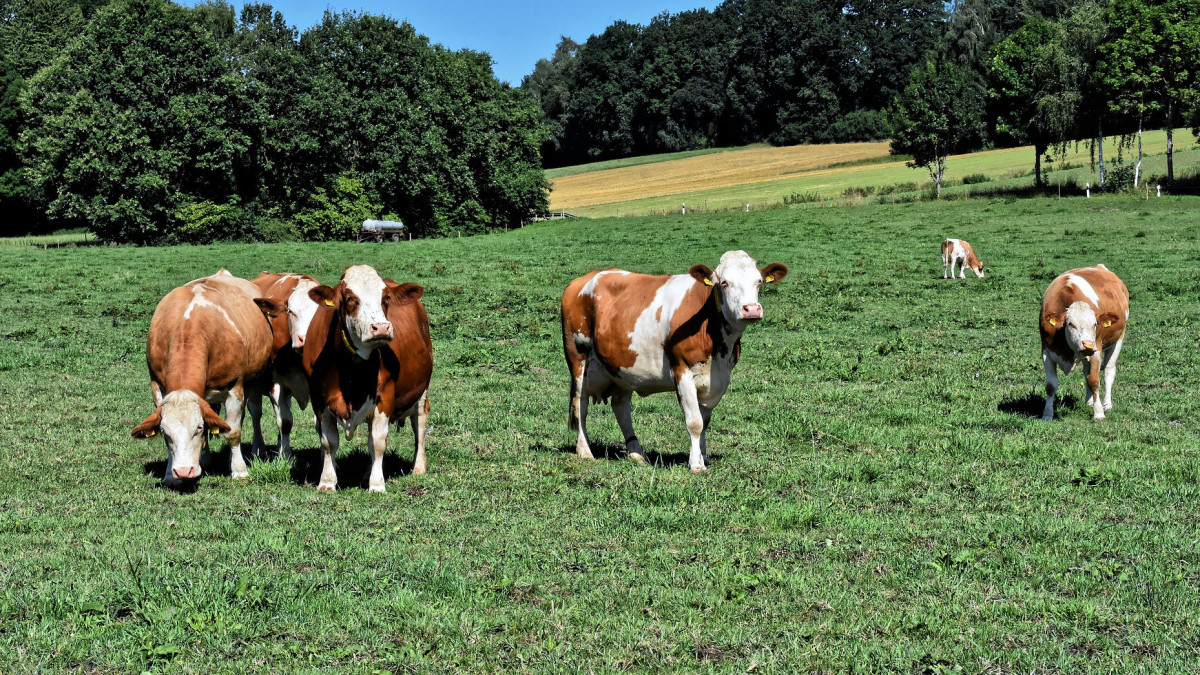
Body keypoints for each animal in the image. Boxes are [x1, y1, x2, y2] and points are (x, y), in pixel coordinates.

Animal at [132, 267, 288, 482]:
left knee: (253, 414)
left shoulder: (234, 389)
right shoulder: (157, 387)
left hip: (254, 381)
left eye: (198, 427)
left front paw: (239, 471)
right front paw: (170, 476)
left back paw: (257, 450)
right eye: (164, 430)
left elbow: (233, 431)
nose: (184, 471)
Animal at [249, 270, 321, 458]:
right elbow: (286, 422)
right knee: (256, 413)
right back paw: (258, 448)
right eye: (290, 311)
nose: (305, 340)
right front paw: (285, 456)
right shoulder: (275, 383)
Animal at [302, 265, 434, 492]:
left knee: (420, 423)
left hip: (422, 389)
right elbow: (329, 442)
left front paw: (377, 484)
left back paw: (418, 467)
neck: (350, 372)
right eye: (349, 298)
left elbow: (378, 442)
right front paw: (327, 481)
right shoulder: (319, 400)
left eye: (386, 297)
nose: (381, 327)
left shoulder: (385, 397)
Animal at [559, 248, 787, 473]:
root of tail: (582, 280)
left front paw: (703, 457)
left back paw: (637, 453)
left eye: (759, 282)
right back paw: (585, 451)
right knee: (580, 405)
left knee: (621, 407)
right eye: (724, 283)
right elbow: (694, 422)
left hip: (621, 367)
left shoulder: (718, 379)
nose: (752, 309)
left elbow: (705, 421)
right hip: (578, 358)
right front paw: (696, 465)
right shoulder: (682, 371)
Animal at [1036, 264, 1128, 417]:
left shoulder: (1096, 351)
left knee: (1109, 371)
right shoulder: (1046, 351)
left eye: (1095, 324)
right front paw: (1047, 414)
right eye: (1071, 324)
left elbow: (1094, 381)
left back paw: (1107, 404)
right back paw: (1089, 401)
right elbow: (1051, 386)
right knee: (1086, 372)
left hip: (1117, 340)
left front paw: (1099, 413)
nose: (1088, 344)